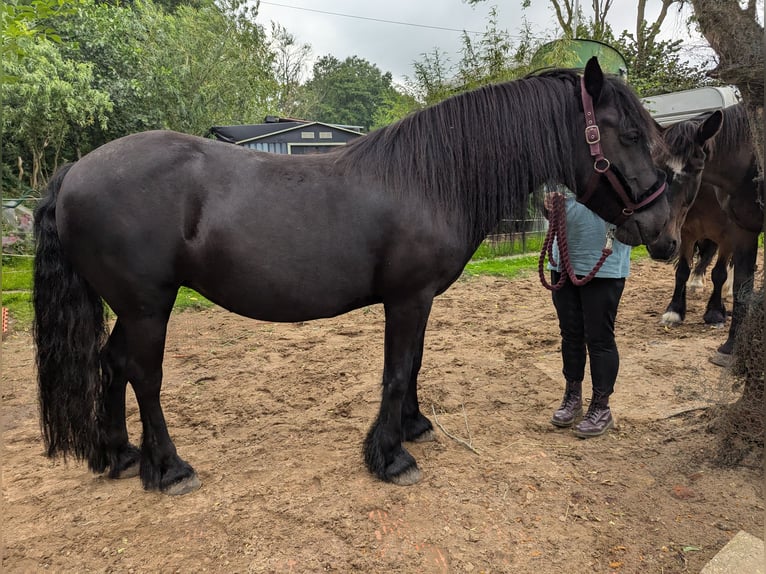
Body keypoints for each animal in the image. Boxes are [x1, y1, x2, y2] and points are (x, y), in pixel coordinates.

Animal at [33, 57, 671, 495]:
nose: (663, 230)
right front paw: (390, 457)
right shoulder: (407, 298)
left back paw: (119, 457)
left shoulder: (420, 300)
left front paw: (413, 427)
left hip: (131, 307)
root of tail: (73, 173)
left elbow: (414, 365)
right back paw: (167, 468)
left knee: (111, 363)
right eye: (630, 135)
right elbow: (397, 370)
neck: (431, 178)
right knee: (142, 373)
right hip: (148, 306)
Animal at [652, 104, 761, 363]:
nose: (659, 244)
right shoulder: (685, 234)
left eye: (695, 169)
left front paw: (714, 312)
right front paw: (675, 311)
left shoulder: (729, 235)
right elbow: (682, 271)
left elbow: (720, 273)